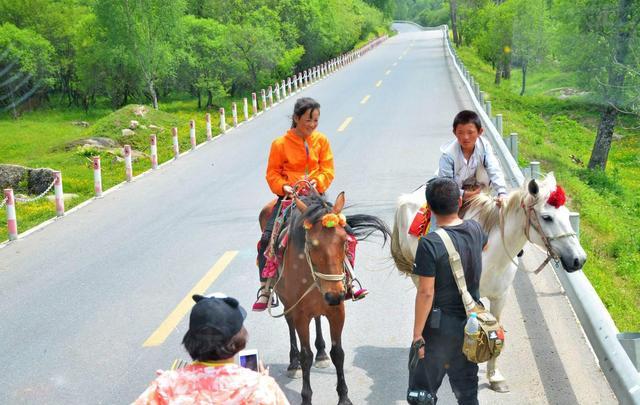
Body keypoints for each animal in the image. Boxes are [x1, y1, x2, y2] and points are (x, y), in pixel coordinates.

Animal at [258, 191, 390, 402]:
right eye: (312, 244)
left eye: (345, 240)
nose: (334, 294)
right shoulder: (301, 314)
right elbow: (306, 355)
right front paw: (306, 396)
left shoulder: (337, 311)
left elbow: (338, 353)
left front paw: (344, 397)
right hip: (287, 302)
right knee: (289, 323)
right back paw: (293, 363)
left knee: (318, 319)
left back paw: (321, 353)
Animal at [390, 173, 584, 392]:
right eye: (547, 217)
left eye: (567, 215)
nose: (579, 259)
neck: (493, 254)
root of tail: (406, 198)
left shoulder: (500, 297)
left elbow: (495, 329)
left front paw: (494, 376)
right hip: (420, 275)